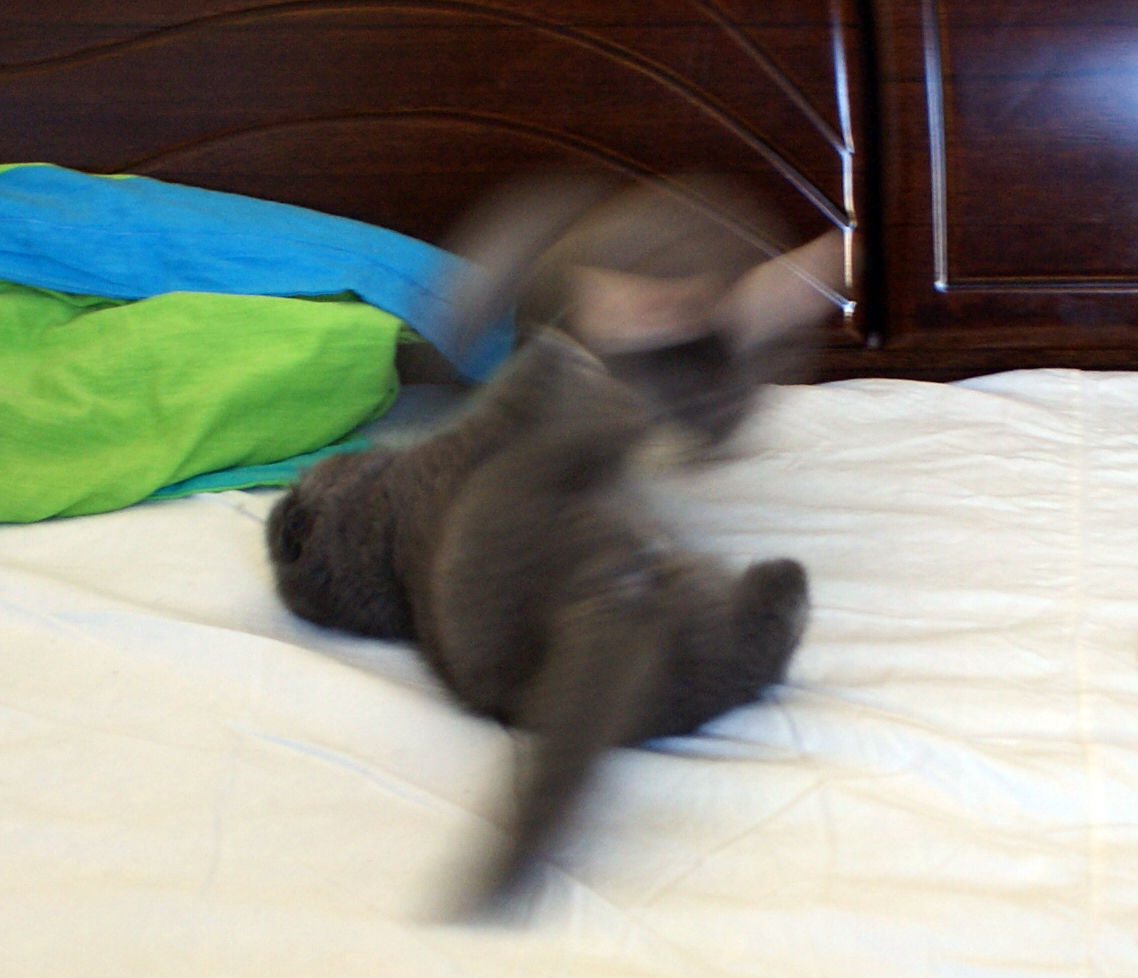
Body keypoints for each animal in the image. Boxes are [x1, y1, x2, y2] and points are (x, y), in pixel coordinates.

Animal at [266, 328, 808, 915]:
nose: (294, 484)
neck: (385, 543)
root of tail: (596, 600)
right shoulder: (500, 420)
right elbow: (540, 372)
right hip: (538, 473)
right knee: (604, 415)